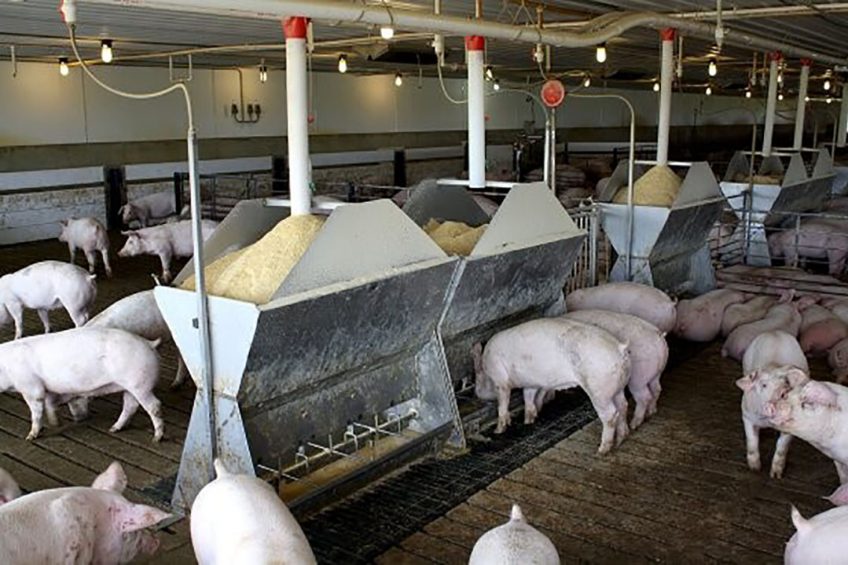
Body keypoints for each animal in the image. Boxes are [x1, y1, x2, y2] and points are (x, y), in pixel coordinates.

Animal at [0, 326, 164, 440]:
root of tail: (150, 344)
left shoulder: (31, 387)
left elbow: (36, 411)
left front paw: (30, 437)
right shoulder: (45, 388)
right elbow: (50, 403)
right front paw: (55, 423)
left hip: (140, 385)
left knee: (154, 406)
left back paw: (157, 438)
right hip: (130, 387)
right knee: (130, 406)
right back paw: (113, 429)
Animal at [474, 318, 632, 454]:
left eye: (477, 378)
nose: (476, 393)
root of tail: (620, 348)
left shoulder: (500, 380)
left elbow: (502, 405)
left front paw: (497, 431)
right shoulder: (531, 382)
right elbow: (528, 398)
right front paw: (529, 421)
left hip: (598, 389)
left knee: (611, 414)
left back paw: (601, 450)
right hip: (617, 387)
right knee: (623, 405)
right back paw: (621, 438)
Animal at [736, 338, 808, 478]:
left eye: (786, 383)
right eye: (764, 385)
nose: (782, 392)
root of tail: (774, 333)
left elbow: (782, 448)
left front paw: (776, 476)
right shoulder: (746, 415)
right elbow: (752, 441)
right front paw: (755, 469)